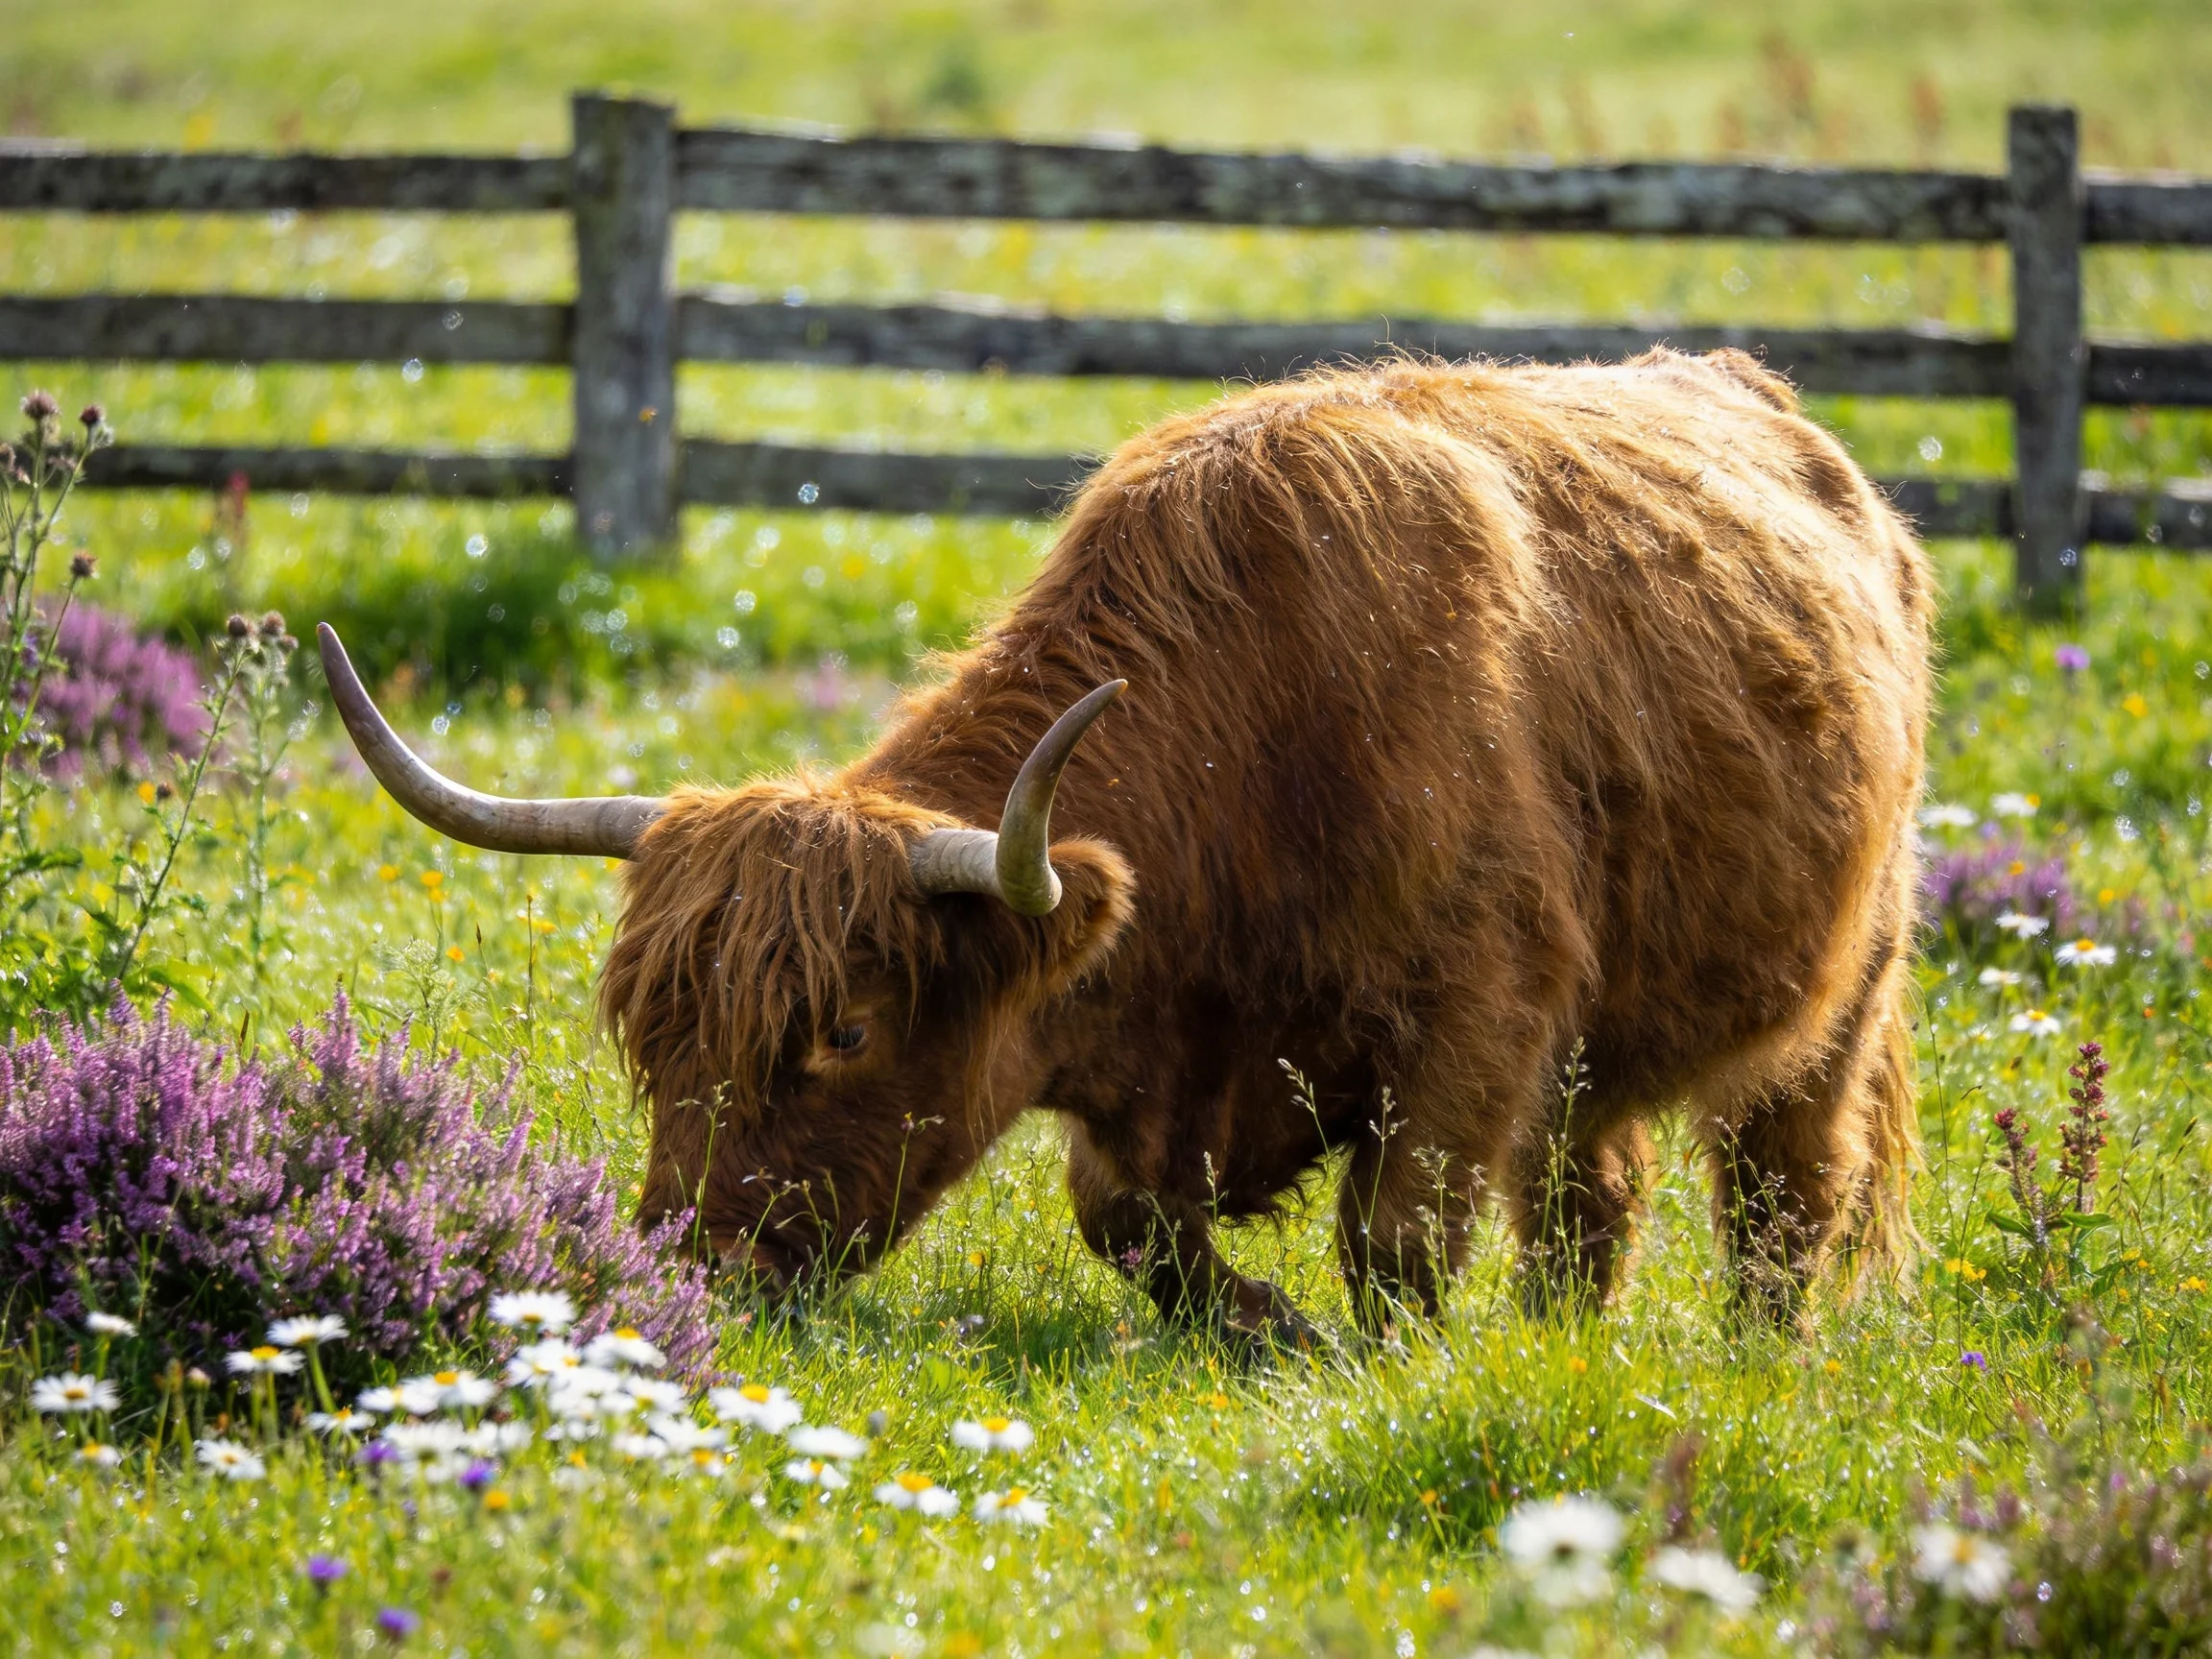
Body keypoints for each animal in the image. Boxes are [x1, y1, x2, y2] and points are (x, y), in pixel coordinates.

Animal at [319, 349, 1931, 1346]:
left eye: (845, 1033)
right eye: (653, 1037)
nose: (688, 1275)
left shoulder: (1481, 1016)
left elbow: (1394, 1246)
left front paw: (1360, 1364)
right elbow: (1126, 1223)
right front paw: (1270, 1332)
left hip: (1849, 984)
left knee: (1787, 1187)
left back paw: (1759, 1357)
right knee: (1594, 1203)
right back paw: (1565, 1348)